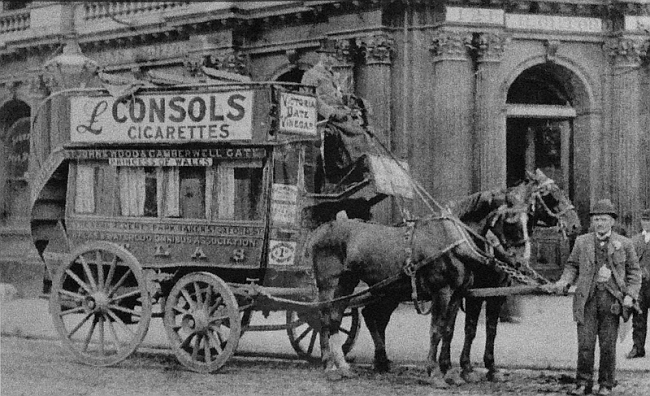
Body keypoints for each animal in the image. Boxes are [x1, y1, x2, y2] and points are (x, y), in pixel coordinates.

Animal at [438, 169, 580, 384]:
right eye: (550, 195)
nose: (575, 225)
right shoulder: (473, 293)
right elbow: (468, 328)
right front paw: (464, 368)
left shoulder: (497, 292)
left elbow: (491, 328)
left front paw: (490, 367)